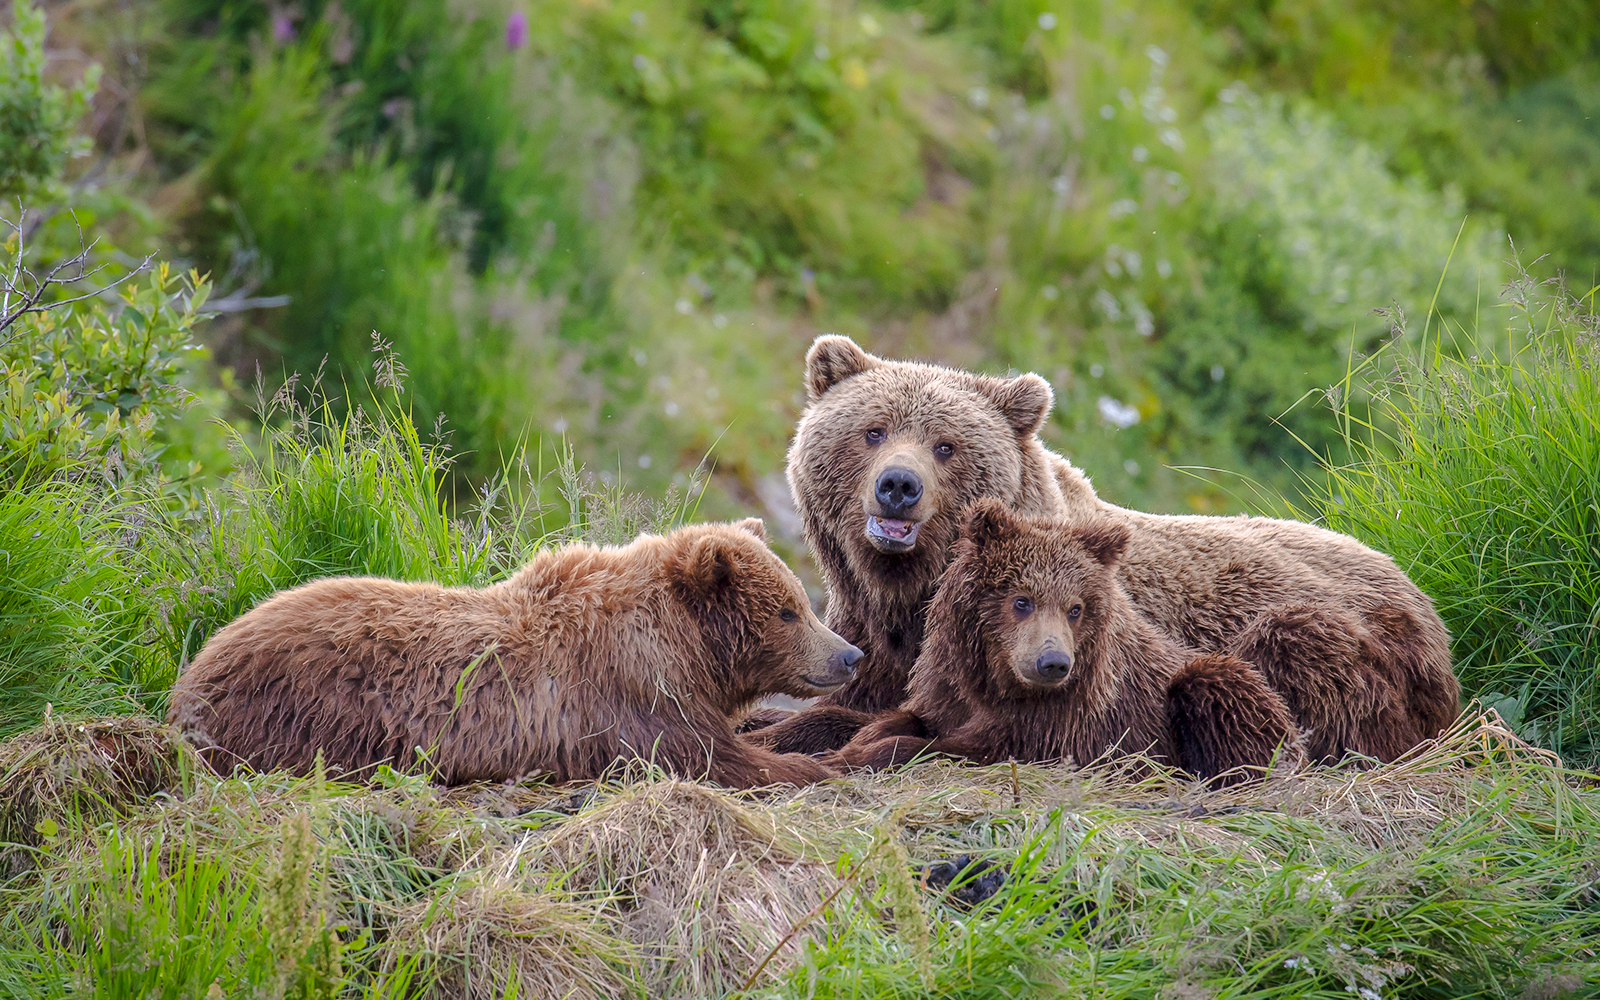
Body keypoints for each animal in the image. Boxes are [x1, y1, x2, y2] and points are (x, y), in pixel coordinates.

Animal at [168, 519, 861, 789]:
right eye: (789, 610)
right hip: (312, 707)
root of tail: (195, 671)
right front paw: (822, 763)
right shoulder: (631, 695)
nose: (849, 654)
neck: (683, 643)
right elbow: (712, 757)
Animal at [831, 500, 1298, 785]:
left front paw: (851, 758)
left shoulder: (1066, 723)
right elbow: (910, 718)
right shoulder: (951, 686)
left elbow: (968, 748)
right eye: (1021, 600)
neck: (997, 678)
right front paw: (855, 742)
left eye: (1075, 607)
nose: (1053, 662)